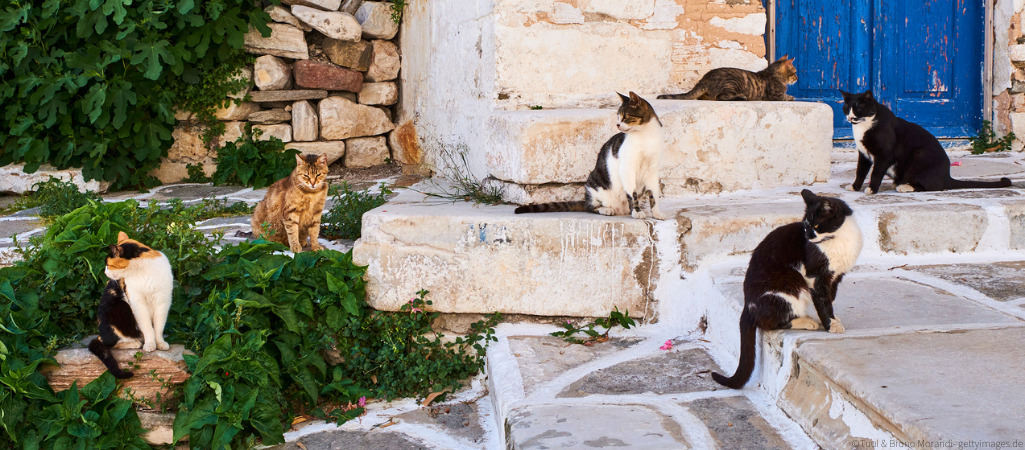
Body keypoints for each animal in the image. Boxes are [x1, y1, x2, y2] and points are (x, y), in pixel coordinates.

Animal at [91, 230, 175, 379]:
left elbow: (158, 327)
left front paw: (160, 343)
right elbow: (147, 327)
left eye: (109, 265)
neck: (142, 271)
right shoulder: (137, 304)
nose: (105, 272)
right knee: (109, 343)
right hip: (116, 309)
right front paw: (150, 344)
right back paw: (135, 342)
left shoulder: (162, 301)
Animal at [516, 91, 668, 220]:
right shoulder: (627, 168)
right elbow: (633, 194)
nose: (618, 124)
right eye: (618, 116)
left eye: (625, 116)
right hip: (594, 185)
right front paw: (636, 212)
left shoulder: (652, 171)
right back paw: (606, 209)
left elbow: (653, 194)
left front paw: (656, 214)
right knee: (591, 207)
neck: (646, 135)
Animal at [656, 55, 799, 101]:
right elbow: (787, 96)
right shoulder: (776, 96)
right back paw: (741, 97)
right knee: (721, 97)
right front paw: (791, 96)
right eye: (795, 72)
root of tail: (704, 79)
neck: (772, 73)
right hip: (732, 83)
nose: (797, 78)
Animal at [709, 190, 861, 391]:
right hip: (788, 289)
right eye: (805, 225)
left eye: (816, 225)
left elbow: (830, 298)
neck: (839, 238)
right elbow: (823, 300)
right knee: (771, 323)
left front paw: (832, 319)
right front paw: (830, 324)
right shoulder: (815, 276)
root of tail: (747, 305)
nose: (808, 237)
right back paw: (808, 321)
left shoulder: (836, 276)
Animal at [836, 89, 1012, 192]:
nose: (850, 117)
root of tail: (947, 177)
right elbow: (860, 171)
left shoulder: (883, 154)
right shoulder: (864, 154)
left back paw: (905, 187)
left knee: (933, 187)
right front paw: (854, 187)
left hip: (920, 155)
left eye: (858, 108)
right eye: (846, 108)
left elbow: (876, 173)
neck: (864, 126)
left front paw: (872, 189)